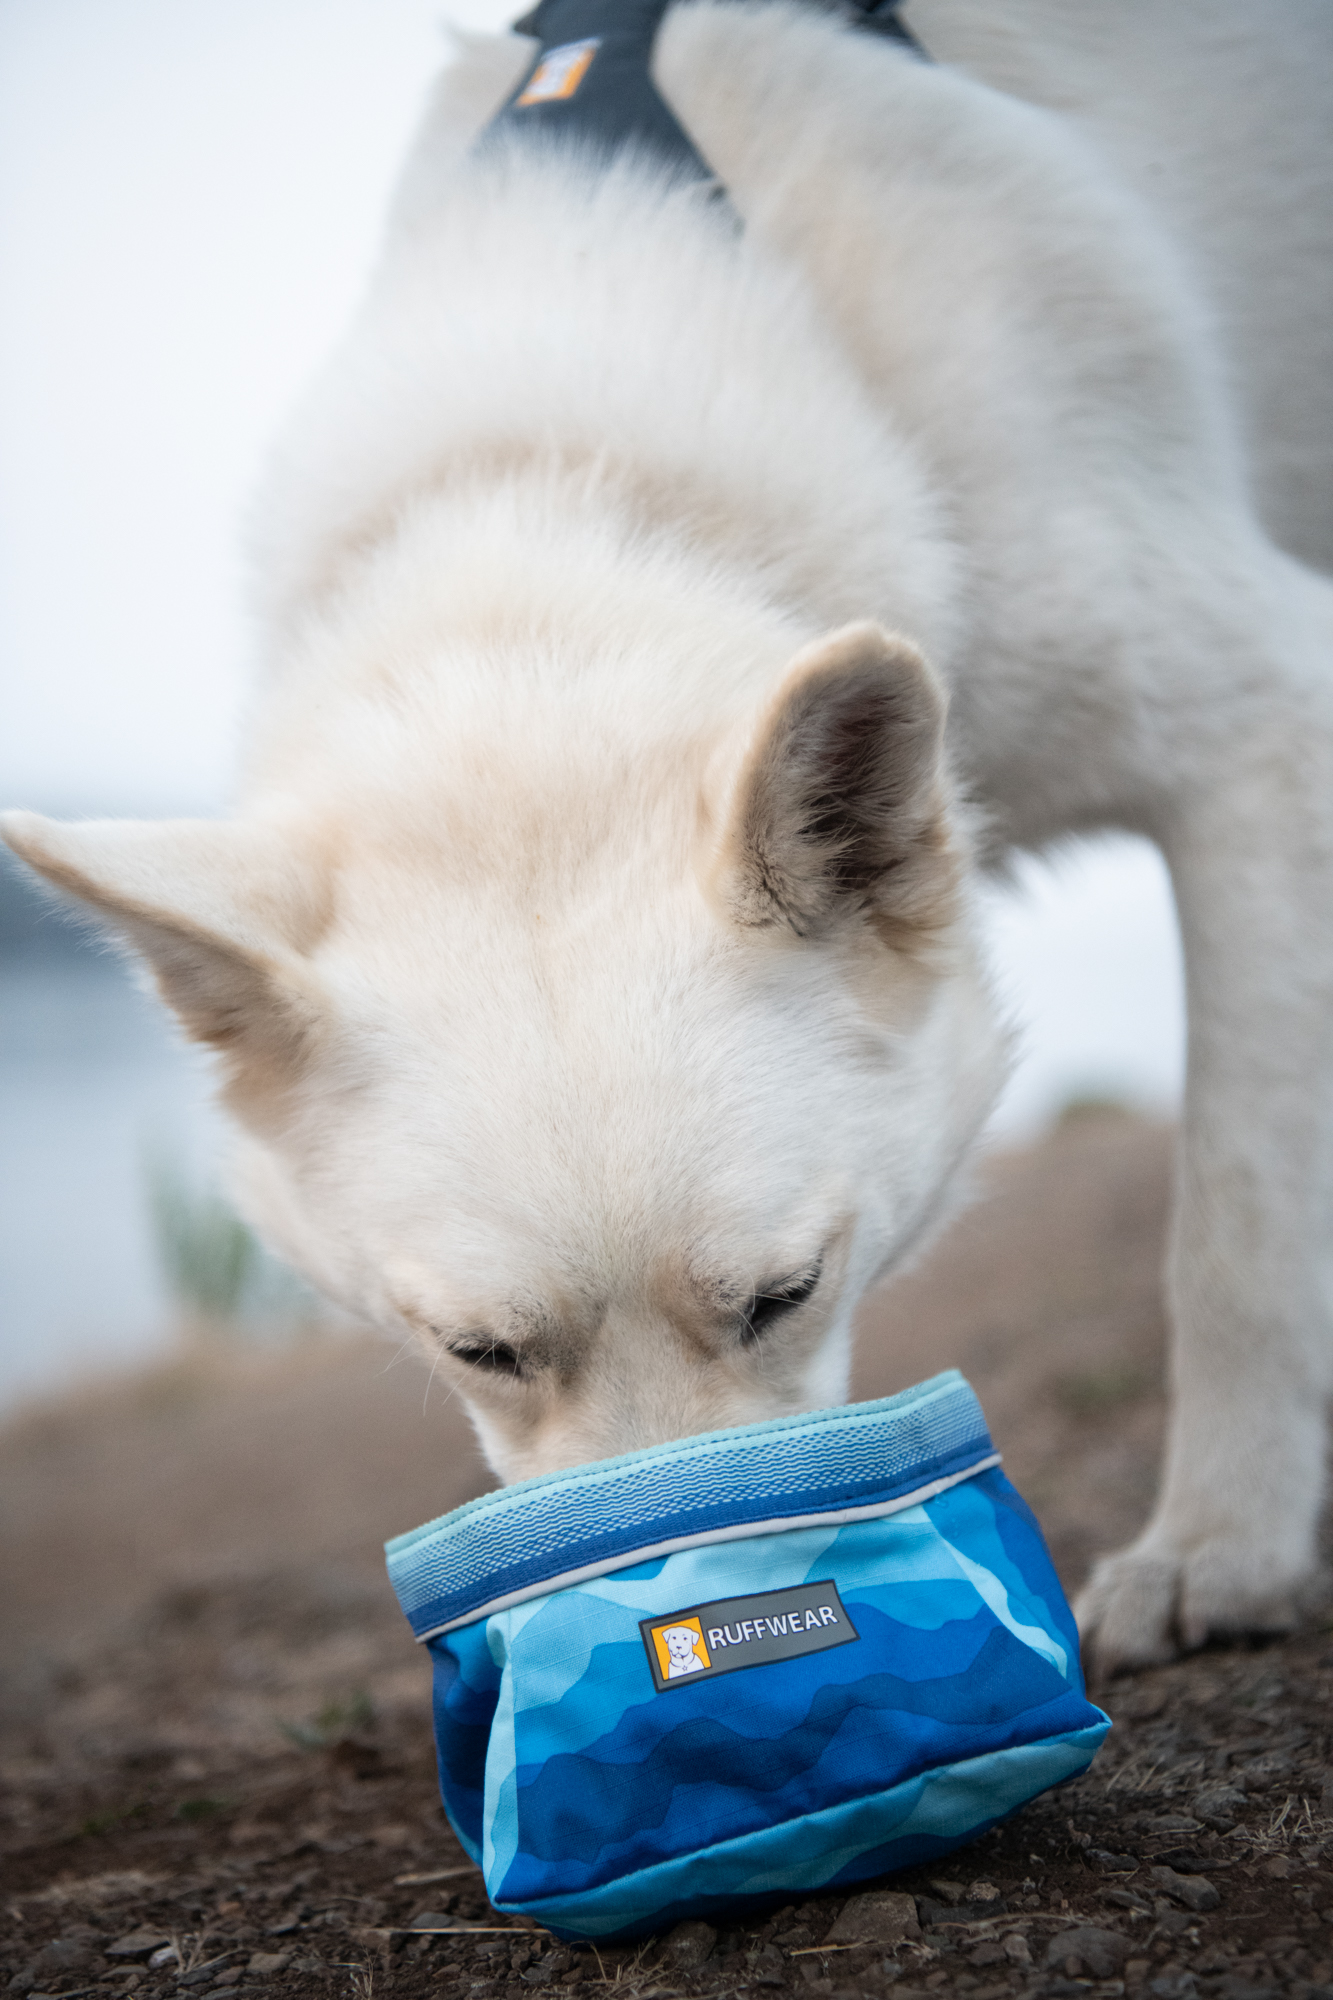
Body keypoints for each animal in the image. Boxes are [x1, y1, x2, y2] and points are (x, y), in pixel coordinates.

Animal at [7, 0, 1328, 1672]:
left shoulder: (1263, 723)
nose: (718, 1635)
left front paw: (1221, 1545)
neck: (563, 468)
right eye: (480, 1350)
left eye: (784, 1295)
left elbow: (1239, 1225)